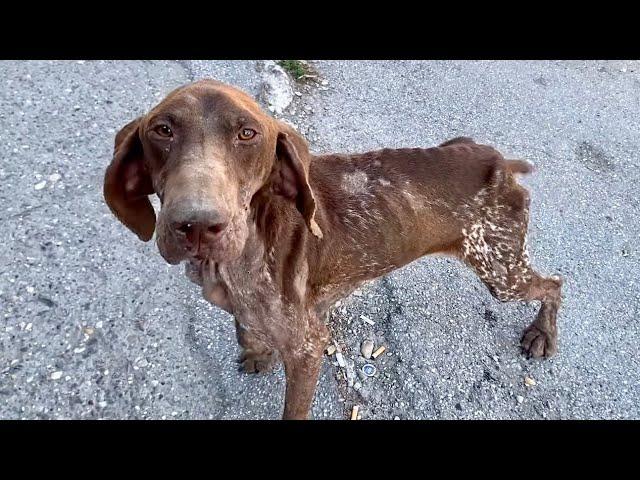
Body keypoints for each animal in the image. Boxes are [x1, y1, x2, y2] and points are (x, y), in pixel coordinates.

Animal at [102, 78, 564, 416]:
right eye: (162, 130)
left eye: (248, 133)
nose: (196, 224)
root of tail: (499, 163)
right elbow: (245, 330)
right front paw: (256, 351)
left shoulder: (309, 349)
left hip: (501, 271)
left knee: (555, 283)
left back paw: (542, 333)